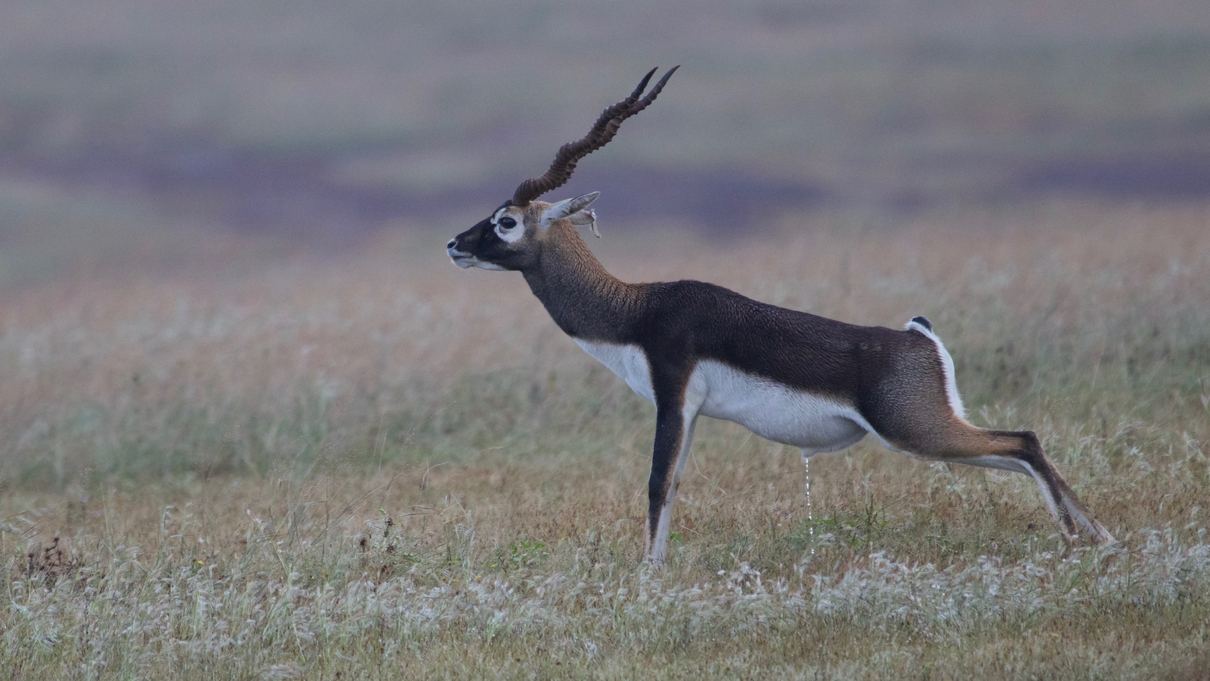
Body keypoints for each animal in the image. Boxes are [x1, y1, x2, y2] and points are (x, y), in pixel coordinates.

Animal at [447, 66, 1113, 561]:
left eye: (506, 221)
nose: (454, 244)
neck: (637, 309)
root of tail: (918, 339)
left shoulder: (673, 396)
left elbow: (657, 483)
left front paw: (645, 577)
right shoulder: (690, 412)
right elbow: (675, 484)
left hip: (915, 430)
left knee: (1023, 439)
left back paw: (1078, 539)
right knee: (1023, 446)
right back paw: (1102, 540)